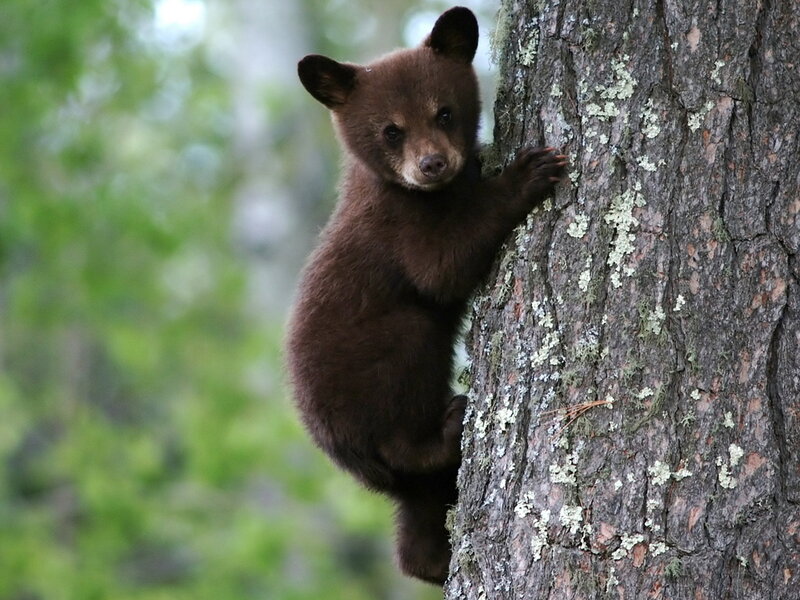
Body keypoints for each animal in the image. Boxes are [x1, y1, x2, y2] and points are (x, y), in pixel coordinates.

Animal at [286, 6, 566, 586]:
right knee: (406, 407)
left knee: (418, 516)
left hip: (407, 488)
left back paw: (433, 561)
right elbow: (442, 267)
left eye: (444, 113)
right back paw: (449, 424)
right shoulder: (397, 227)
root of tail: (342, 454)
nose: (432, 164)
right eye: (391, 130)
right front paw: (526, 173)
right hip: (378, 369)